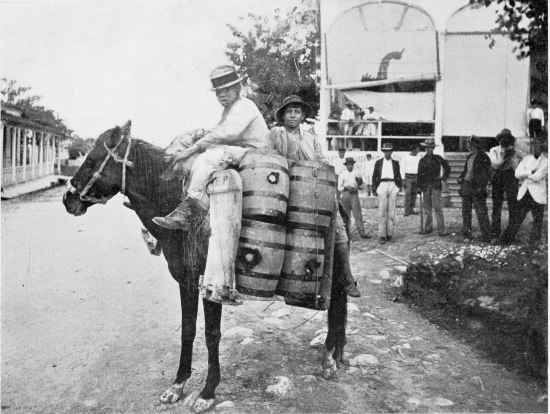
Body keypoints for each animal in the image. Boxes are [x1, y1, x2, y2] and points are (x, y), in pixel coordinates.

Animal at [63, 121, 350, 412]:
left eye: (92, 159)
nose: (67, 199)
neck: (181, 213)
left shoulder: (212, 283)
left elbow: (212, 334)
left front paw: (207, 392)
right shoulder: (187, 281)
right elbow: (188, 330)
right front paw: (178, 385)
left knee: (337, 299)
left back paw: (330, 357)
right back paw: (337, 353)